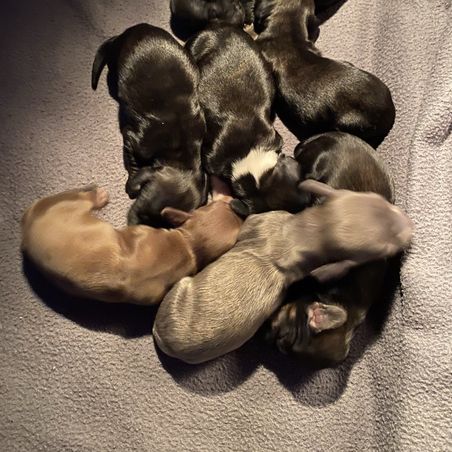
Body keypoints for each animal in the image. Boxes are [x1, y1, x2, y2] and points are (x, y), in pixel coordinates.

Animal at [91, 23, 207, 227]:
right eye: (142, 211)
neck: (180, 157)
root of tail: (126, 32)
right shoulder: (132, 139)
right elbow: (134, 162)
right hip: (116, 61)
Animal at [153, 179, 413, 364]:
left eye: (385, 249)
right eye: (380, 201)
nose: (409, 227)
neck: (307, 234)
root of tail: (161, 337)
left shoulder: (257, 221)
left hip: (180, 288)